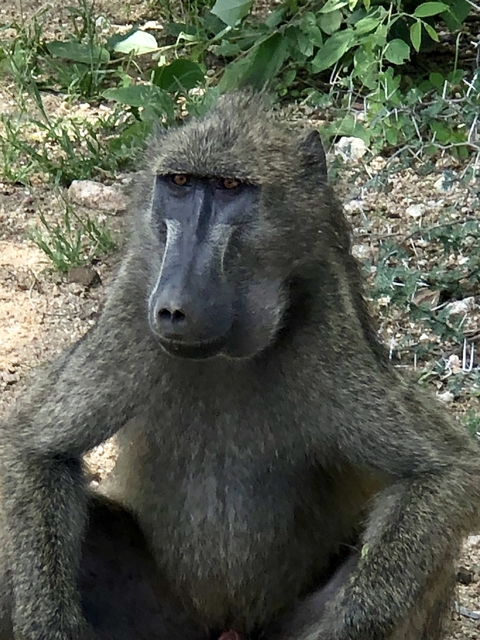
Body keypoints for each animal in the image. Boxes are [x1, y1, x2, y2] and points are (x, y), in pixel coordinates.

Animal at [0, 91, 479, 640]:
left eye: (230, 188)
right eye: (179, 184)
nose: (174, 307)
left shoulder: (330, 322)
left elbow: (445, 472)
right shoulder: (133, 298)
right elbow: (33, 450)